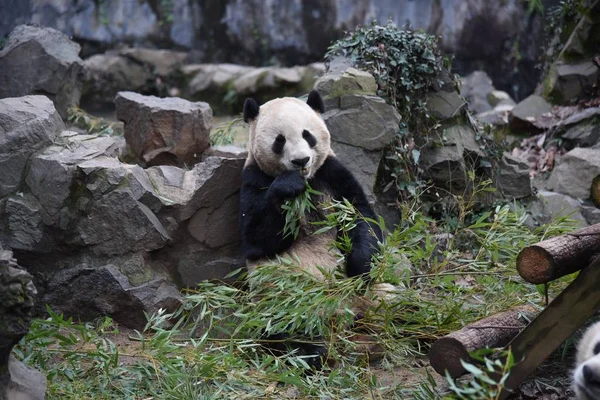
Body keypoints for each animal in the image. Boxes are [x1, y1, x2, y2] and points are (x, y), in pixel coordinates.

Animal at [240, 90, 390, 366]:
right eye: (279, 140)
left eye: (307, 134)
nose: (301, 160)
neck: (308, 181)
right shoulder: (253, 178)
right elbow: (256, 239)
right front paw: (287, 185)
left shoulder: (332, 173)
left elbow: (362, 217)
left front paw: (360, 267)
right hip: (283, 301)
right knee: (288, 327)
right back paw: (310, 352)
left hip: (373, 298)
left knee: (393, 300)